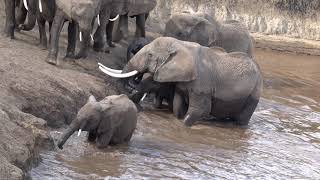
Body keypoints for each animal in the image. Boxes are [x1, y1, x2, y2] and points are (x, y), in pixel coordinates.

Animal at [99, 36, 262, 126]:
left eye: (150, 55)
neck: (182, 44)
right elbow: (178, 105)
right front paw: (176, 120)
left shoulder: (202, 85)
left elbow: (201, 109)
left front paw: (183, 126)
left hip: (254, 94)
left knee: (242, 119)